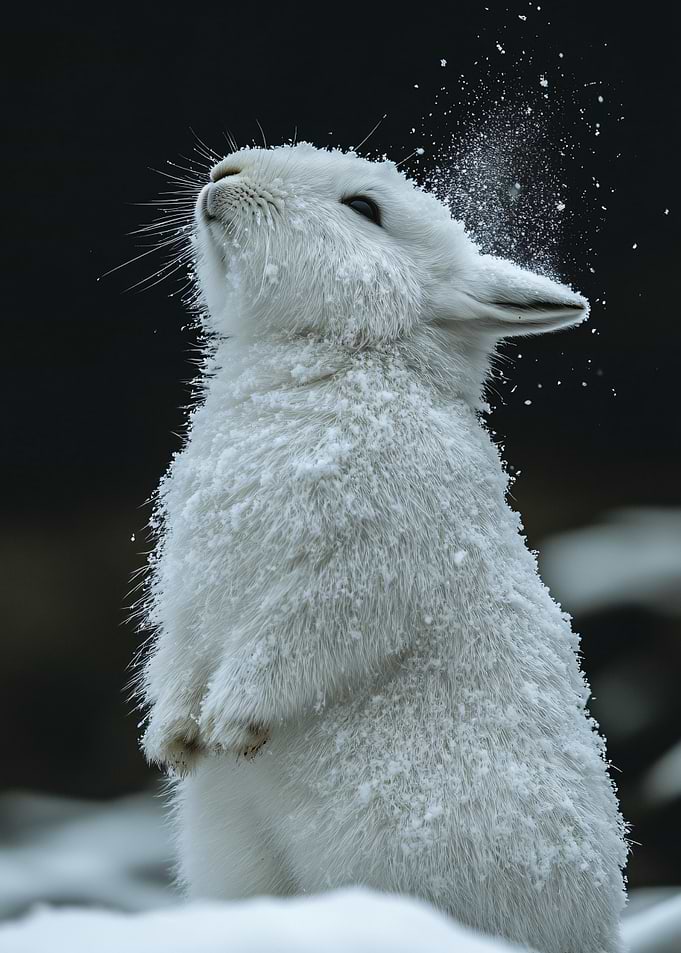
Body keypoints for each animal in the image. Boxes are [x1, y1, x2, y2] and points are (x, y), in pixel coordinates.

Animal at [137, 142, 628, 953]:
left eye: (364, 208)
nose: (225, 173)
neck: (339, 358)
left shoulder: (358, 568)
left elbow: (291, 642)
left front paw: (231, 724)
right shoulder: (189, 592)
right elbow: (179, 656)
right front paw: (175, 741)